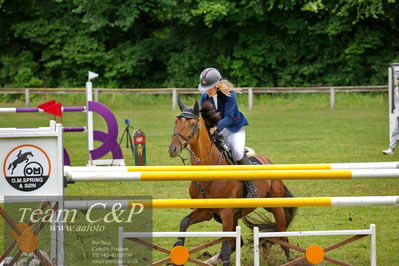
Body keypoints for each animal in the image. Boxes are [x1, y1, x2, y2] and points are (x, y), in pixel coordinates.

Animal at [168, 98, 296, 266]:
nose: (173, 149)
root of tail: (267, 161)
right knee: (238, 242)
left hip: (276, 206)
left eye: (192, 124)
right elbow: (184, 223)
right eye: (176, 122)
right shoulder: (206, 211)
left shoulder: (226, 212)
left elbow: (226, 247)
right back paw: (211, 259)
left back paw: (291, 259)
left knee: (282, 237)